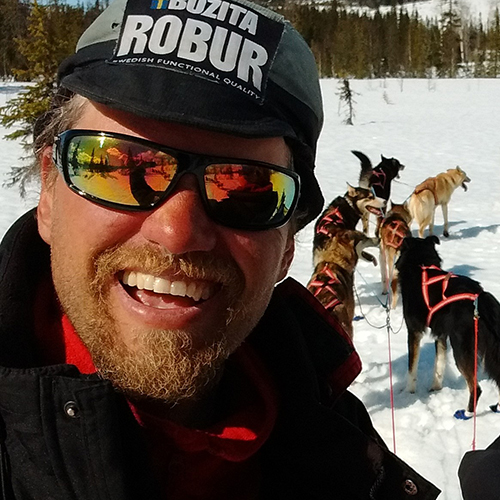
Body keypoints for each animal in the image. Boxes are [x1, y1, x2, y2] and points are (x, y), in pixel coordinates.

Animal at [398, 236, 500, 420]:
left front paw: (408, 393)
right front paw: (435, 388)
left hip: (461, 350)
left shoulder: (414, 331)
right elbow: (439, 364)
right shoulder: (441, 334)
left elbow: (412, 368)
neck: (421, 263)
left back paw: (466, 413)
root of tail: (480, 296)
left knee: (476, 388)